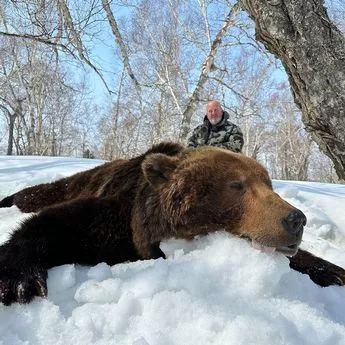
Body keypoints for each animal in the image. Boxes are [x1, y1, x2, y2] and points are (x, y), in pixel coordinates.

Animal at [0, 142, 342, 304]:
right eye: (236, 185)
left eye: (269, 185)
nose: (296, 219)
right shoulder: (117, 220)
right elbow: (54, 225)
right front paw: (19, 281)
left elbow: (307, 261)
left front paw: (336, 273)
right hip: (76, 183)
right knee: (40, 192)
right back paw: (8, 199)